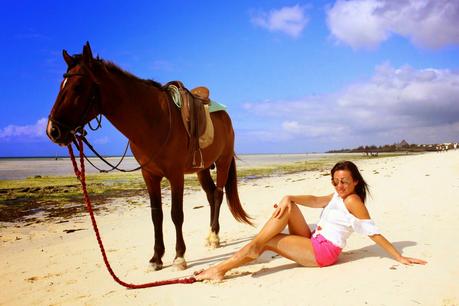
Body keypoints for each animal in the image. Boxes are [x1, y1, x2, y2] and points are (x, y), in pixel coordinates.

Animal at [46, 42, 252, 270]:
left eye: (78, 87)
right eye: (61, 85)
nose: (53, 130)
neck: (153, 120)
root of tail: (224, 115)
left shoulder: (175, 175)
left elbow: (176, 214)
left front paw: (179, 256)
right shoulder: (149, 175)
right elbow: (156, 215)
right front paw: (157, 257)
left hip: (222, 162)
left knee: (217, 195)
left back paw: (214, 238)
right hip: (203, 168)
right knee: (210, 195)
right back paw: (210, 236)